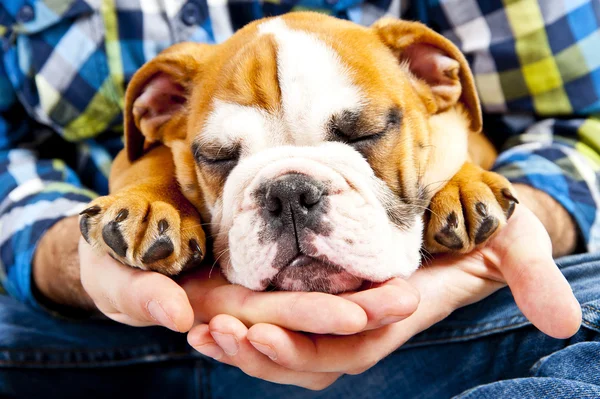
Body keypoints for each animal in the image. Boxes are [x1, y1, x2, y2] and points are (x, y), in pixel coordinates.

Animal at [78, 11, 516, 294]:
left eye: (366, 134)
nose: (288, 192)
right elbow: (153, 162)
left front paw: (464, 187)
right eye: (218, 157)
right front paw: (151, 204)